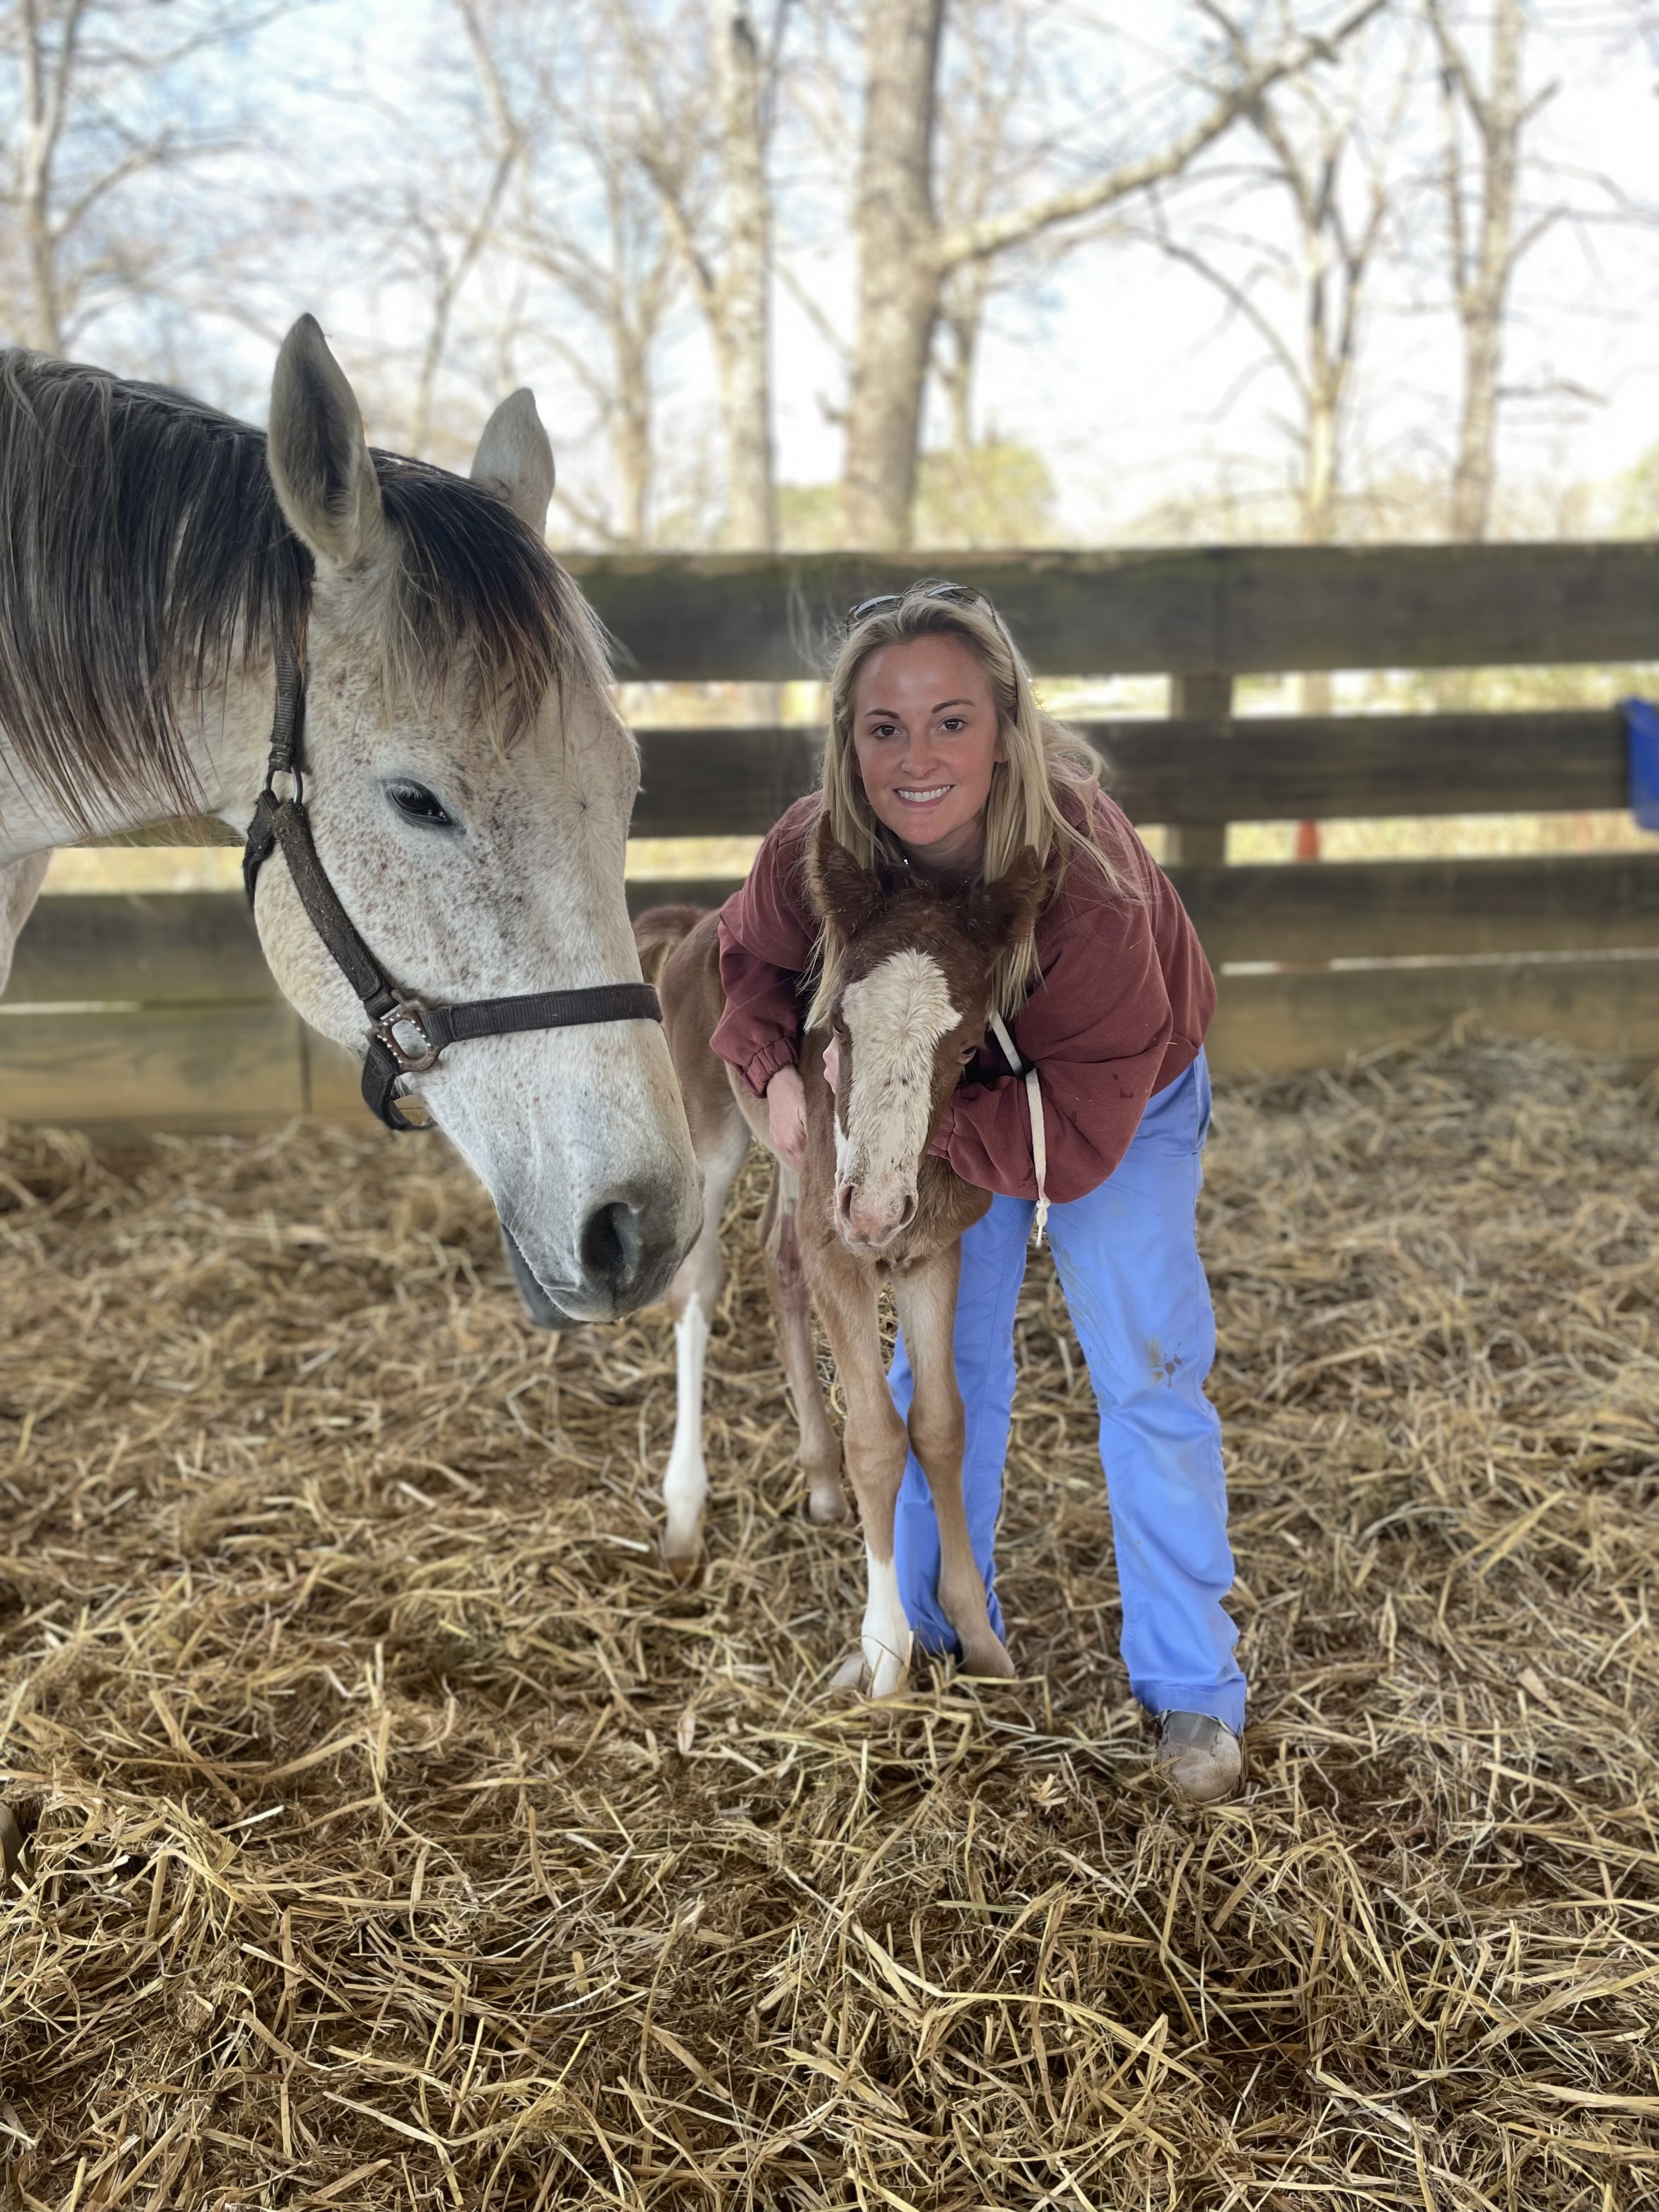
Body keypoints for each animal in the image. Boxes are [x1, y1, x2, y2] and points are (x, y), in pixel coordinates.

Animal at [636, 816, 1044, 1695]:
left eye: (969, 1049)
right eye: (839, 1030)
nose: (875, 1211)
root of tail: (694, 923)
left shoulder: (932, 1255)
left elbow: (942, 1426)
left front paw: (978, 1638)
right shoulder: (844, 1256)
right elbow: (879, 1440)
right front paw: (886, 1655)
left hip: (797, 1166)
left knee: (778, 1259)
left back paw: (820, 1482)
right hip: (711, 1132)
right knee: (699, 1285)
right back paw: (685, 1512)